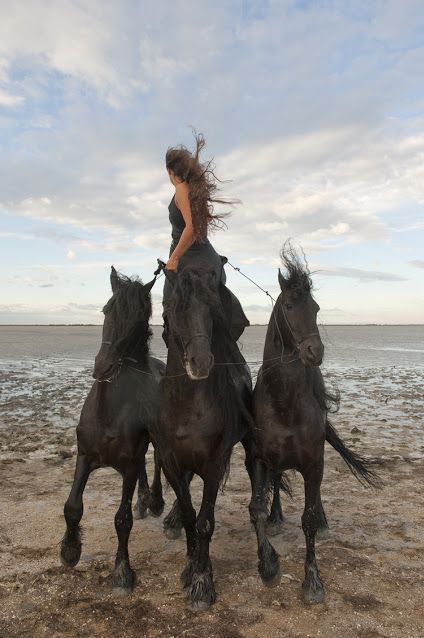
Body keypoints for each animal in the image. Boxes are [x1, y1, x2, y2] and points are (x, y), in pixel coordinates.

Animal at [60, 268, 165, 596]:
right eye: (107, 310)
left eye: (137, 320)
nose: (102, 366)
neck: (109, 410)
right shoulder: (85, 456)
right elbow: (72, 507)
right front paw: (69, 551)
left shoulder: (127, 467)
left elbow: (122, 519)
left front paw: (122, 572)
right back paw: (144, 500)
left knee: (157, 462)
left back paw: (155, 501)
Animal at [153, 262, 250, 612]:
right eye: (174, 310)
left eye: (212, 310)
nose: (201, 362)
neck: (188, 406)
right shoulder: (170, 461)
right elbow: (188, 515)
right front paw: (190, 564)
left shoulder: (213, 465)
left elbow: (205, 522)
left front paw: (202, 581)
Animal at [247, 248, 380, 608]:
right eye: (289, 306)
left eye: (317, 308)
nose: (314, 352)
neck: (284, 401)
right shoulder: (259, 460)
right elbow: (257, 510)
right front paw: (268, 566)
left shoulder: (312, 463)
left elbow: (306, 519)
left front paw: (313, 582)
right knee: (276, 484)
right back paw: (277, 518)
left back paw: (321, 520)